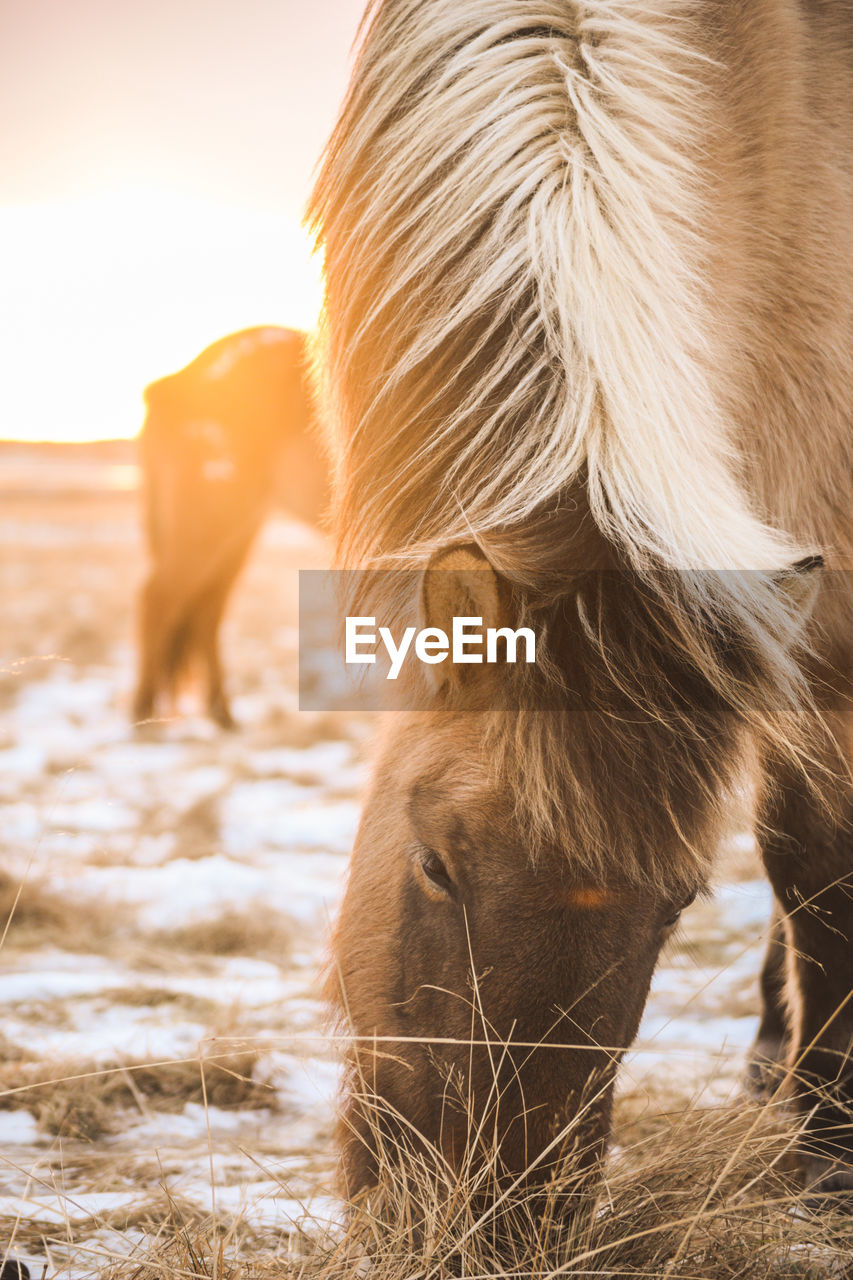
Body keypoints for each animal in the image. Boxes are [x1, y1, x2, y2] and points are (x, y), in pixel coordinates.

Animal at [133, 327, 325, 732]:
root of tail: (172, 382)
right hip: (209, 522)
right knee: (158, 599)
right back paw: (142, 712)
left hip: (239, 531)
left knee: (207, 611)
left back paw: (221, 712)